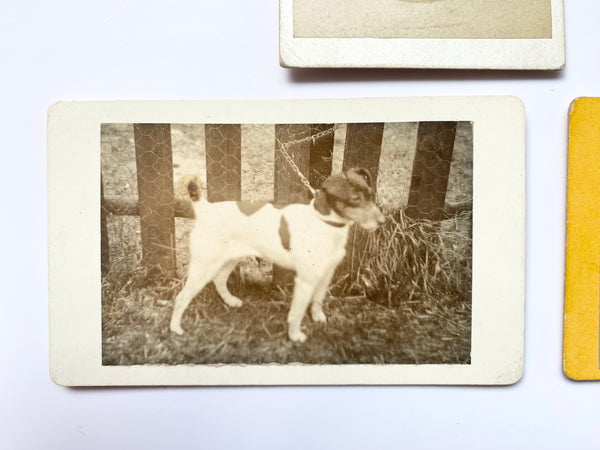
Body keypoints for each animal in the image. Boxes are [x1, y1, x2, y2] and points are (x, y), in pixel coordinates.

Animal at [169, 168, 384, 342]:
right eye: (354, 198)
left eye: (371, 194)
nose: (382, 221)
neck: (323, 222)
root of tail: (204, 210)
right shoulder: (305, 281)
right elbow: (297, 312)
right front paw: (295, 335)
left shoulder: (326, 275)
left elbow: (318, 300)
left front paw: (318, 318)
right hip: (203, 267)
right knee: (182, 297)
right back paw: (175, 328)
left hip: (230, 259)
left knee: (219, 280)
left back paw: (230, 301)